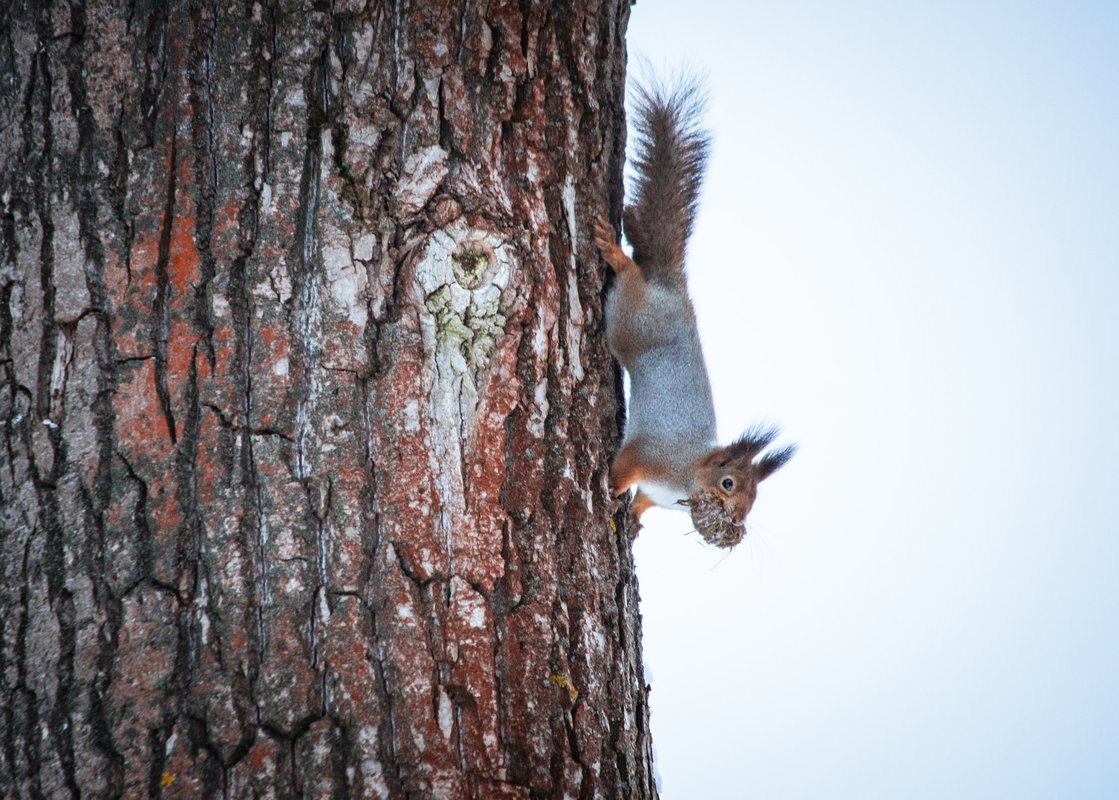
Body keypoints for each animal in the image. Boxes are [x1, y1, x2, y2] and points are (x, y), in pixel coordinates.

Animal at [595, 76, 796, 550]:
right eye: (729, 484)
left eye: (755, 499)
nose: (737, 518)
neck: (686, 476)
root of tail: (673, 288)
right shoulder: (650, 455)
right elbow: (622, 467)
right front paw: (609, 491)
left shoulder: (655, 492)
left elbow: (643, 501)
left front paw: (633, 522)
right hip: (631, 320)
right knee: (630, 277)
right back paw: (617, 254)